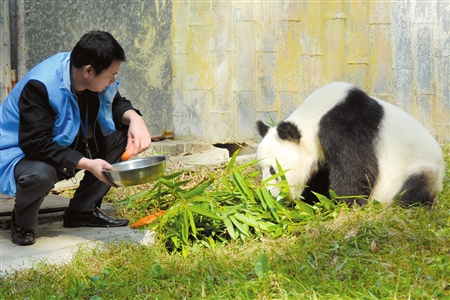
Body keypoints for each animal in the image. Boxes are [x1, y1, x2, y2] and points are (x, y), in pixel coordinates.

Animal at [256, 82, 446, 206]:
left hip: (417, 169)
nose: (268, 194)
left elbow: (357, 169)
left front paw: (345, 203)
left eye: (273, 171)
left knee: (413, 188)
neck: (313, 117)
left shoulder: (342, 127)